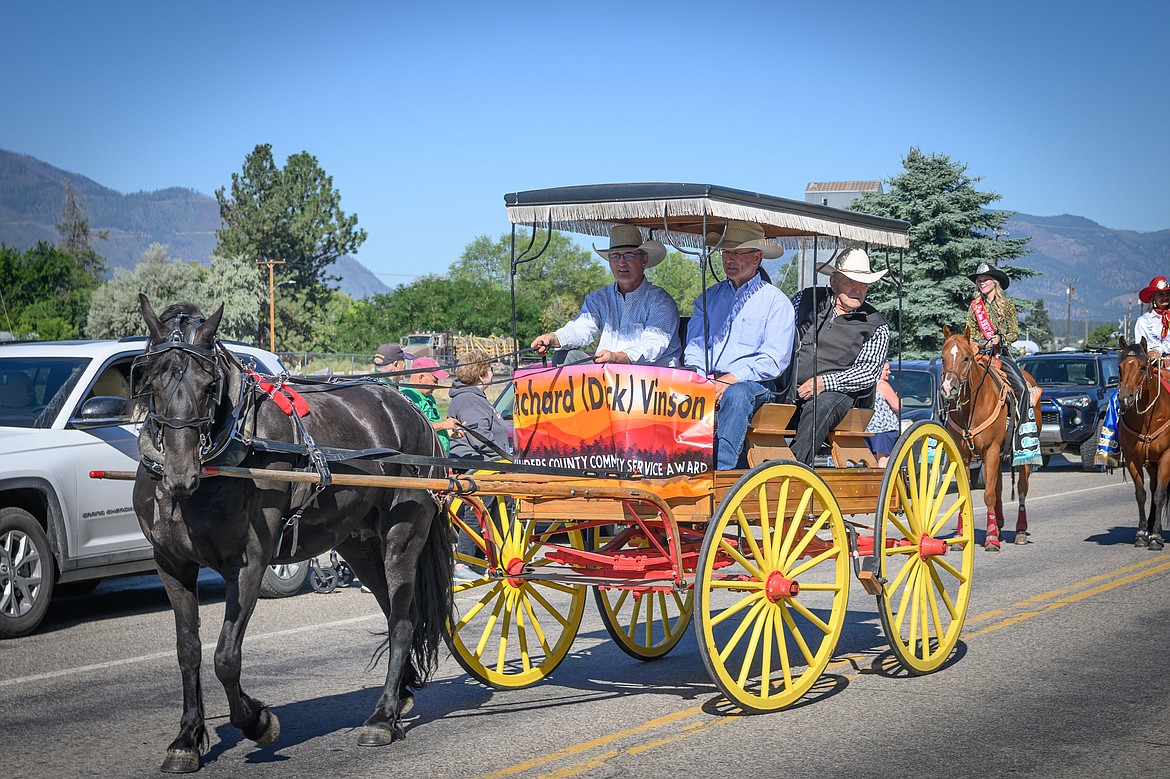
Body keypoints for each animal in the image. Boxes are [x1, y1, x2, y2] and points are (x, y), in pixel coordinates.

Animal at [131, 295, 451, 771]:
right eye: (151, 380)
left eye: (208, 385)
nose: (180, 474)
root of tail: (412, 410)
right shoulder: (172, 565)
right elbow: (188, 650)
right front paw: (187, 739)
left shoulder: (248, 564)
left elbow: (225, 656)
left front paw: (257, 721)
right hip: (360, 546)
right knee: (396, 613)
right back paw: (400, 696)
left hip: (401, 538)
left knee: (403, 621)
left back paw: (382, 717)